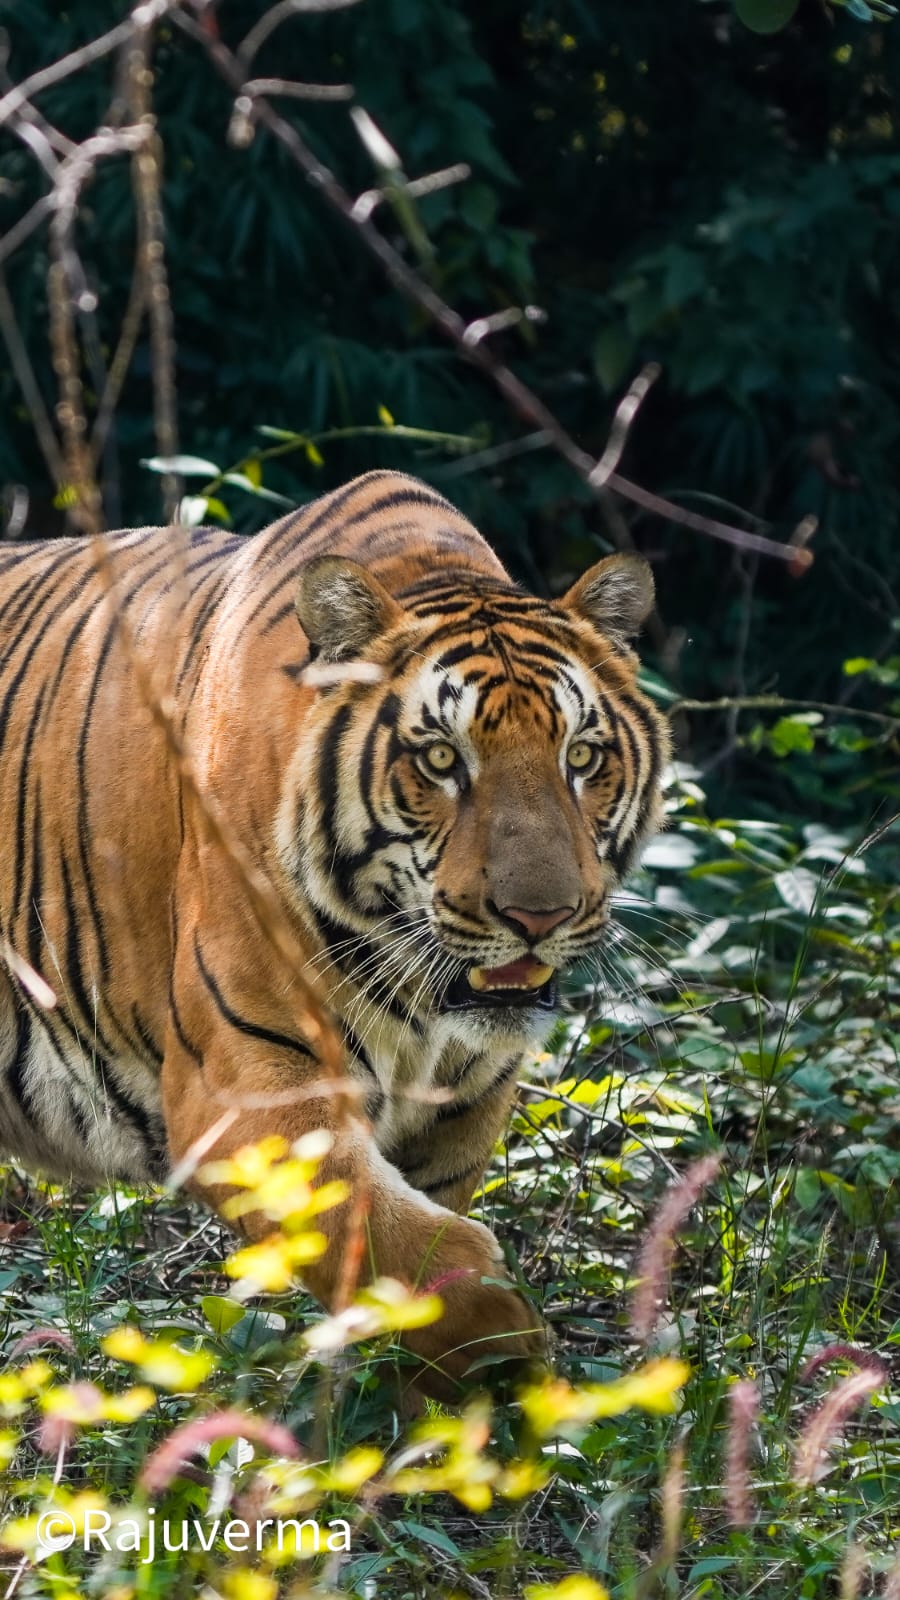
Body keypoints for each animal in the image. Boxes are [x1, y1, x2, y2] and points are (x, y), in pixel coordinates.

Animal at [0, 469, 669, 1396]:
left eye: (582, 757)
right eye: (441, 760)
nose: (539, 917)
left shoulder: (465, 1106)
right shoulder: (246, 1088)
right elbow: (392, 1241)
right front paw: (508, 1347)